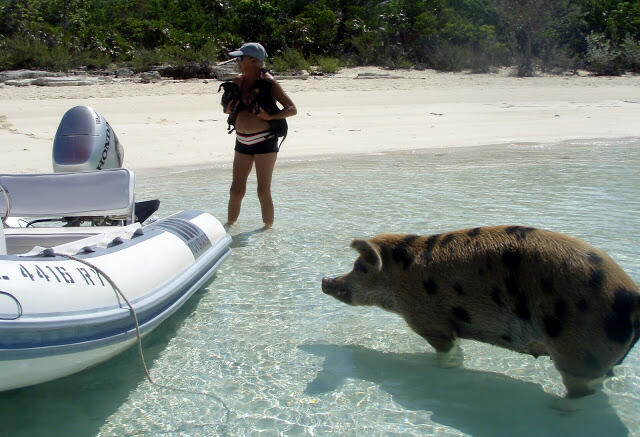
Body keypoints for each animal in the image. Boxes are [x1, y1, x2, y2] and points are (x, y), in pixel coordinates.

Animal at [322, 227, 636, 396]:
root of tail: (633, 297)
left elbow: (447, 353)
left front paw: (444, 371)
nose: (325, 280)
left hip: (579, 352)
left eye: (360, 268)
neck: (402, 278)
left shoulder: (431, 322)